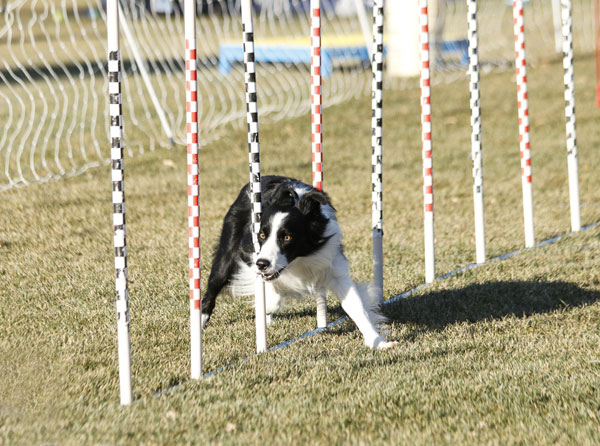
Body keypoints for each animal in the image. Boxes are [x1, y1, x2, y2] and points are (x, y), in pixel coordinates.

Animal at [202, 176, 398, 350]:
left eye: (287, 237)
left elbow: (356, 307)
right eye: (262, 235)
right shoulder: (249, 252)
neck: (300, 257)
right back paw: (202, 321)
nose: (263, 264)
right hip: (227, 251)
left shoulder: (333, 264)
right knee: (214, 284)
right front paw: (267, 303)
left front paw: (378, 342)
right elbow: (270, 292)